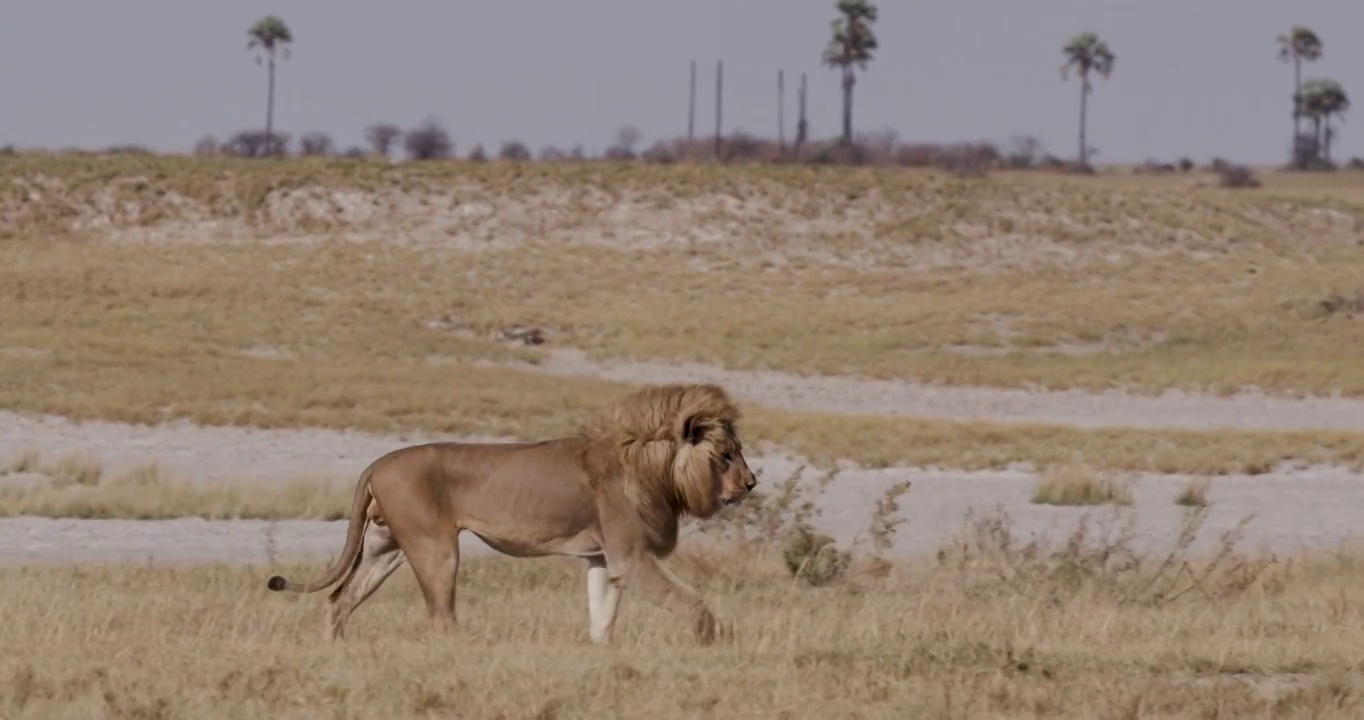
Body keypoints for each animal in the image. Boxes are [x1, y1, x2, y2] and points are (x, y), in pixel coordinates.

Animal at [265, 381, 758, 646]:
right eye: (727, 456)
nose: (751, 483)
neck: (651, 465)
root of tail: (377, 463)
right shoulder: (631, 557)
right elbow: (692, 602)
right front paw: (711, 640)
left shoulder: (603, 558)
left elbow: (602, 617)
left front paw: (601, 652)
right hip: (435, 548)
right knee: (440, 616)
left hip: (385, 549)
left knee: (340, 599)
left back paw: (336, 649)